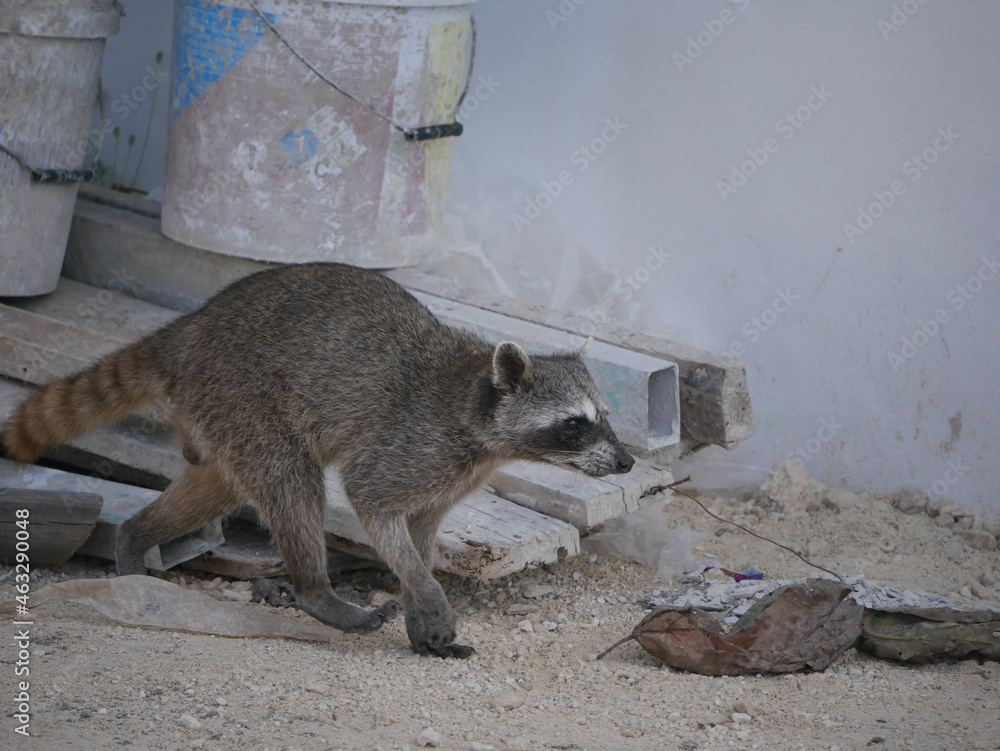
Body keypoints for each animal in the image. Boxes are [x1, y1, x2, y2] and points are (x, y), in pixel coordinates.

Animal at [1, 264, 632, 656]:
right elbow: (370, 499)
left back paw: (134, 540)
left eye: (606, 415)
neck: (479, 409)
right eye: (575, 424)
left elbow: (421, 533)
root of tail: (189, 328)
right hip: (241, 393)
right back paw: (316, 592)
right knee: (292, 482)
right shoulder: (416, 442)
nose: (627, 462)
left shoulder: (453, 474)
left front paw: (417, 602)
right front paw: (427, 594)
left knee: (219, 486)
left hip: (221, 414)